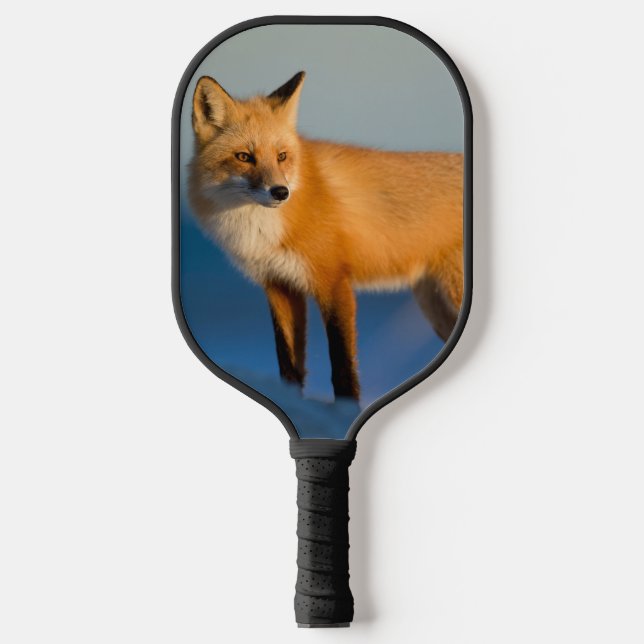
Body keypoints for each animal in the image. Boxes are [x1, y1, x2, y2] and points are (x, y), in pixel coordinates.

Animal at [188, 71, 463, 401]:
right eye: (244, 156)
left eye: (282, 156)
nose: (281, 192)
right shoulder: (279, 285)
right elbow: (289, 365)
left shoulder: (333, 281)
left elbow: (343, 367)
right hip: (436, 307)